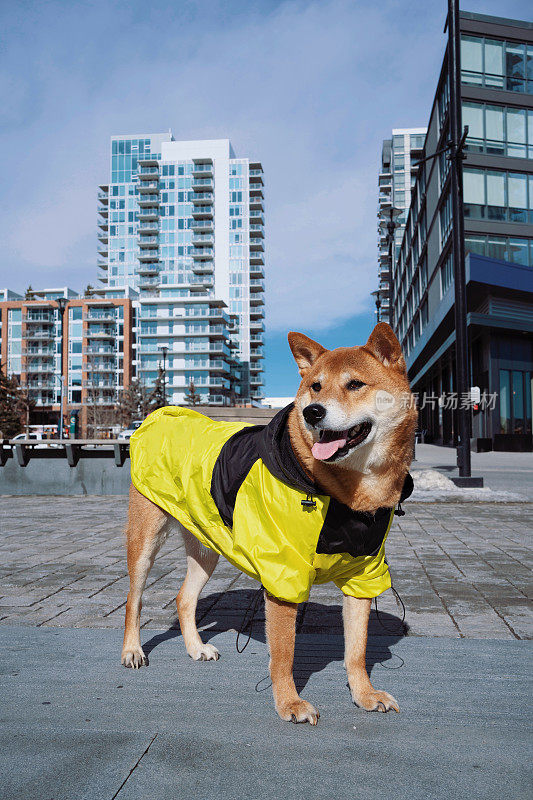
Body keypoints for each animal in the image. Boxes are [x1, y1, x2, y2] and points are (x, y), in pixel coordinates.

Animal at [120, 324, 416, 724]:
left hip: (207, 547)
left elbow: (357, 651)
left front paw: (364, 694)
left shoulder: (363, 575)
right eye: (315, 386)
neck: (348, 494)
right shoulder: (283, 576)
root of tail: (159, 415)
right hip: (145, 541)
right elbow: (284, 654)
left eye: (355, 384)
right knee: (133, 600)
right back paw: (132, 650)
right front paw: (289, 703)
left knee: (184, 599)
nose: (312, 412)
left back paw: (196, 647)